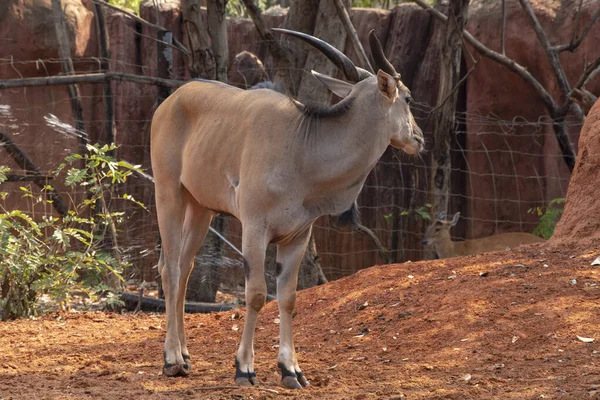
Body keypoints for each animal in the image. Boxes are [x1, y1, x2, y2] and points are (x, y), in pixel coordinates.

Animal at [149, 29, 422, 390]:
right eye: (407, 98)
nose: (419, 139)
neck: (303, 145)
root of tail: (171, 101)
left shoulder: (297, 236)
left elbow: (288, 297)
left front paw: (291, 370)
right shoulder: (255, 228)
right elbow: (256, 294)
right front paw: (244, 368)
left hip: (200, 209)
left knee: (184, 267)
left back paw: (184, 355)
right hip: (169, 194)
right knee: (170, 268)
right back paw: (171, 360)